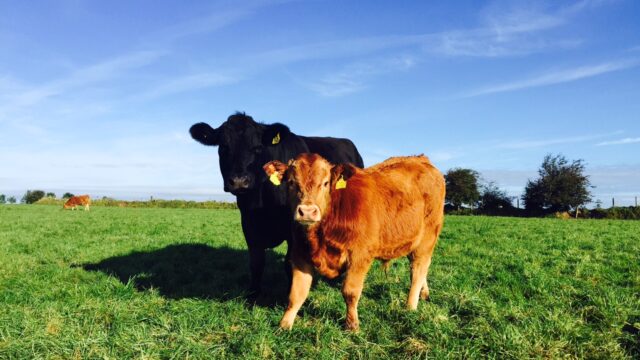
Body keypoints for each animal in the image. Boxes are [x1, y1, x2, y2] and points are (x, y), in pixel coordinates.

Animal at [189, 112, 364, 296]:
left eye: (258, 147)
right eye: (223, 146)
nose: (239, 181)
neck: (262, 205)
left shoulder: (294, 225)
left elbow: (289, 264)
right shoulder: (248, 223)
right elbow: (256, 262)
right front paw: (253, 295)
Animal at [262, 153, 442, 330]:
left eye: (326, 183)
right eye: (291, 182)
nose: (307, 211)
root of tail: (420, 158)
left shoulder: (359, 256)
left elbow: (350, 292)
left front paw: (352, 325)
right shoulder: (300, 255)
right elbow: (297, 293)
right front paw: (284, 324)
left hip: (427, 238)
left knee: (418, 270)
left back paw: (410, 307)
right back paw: (424, 293)